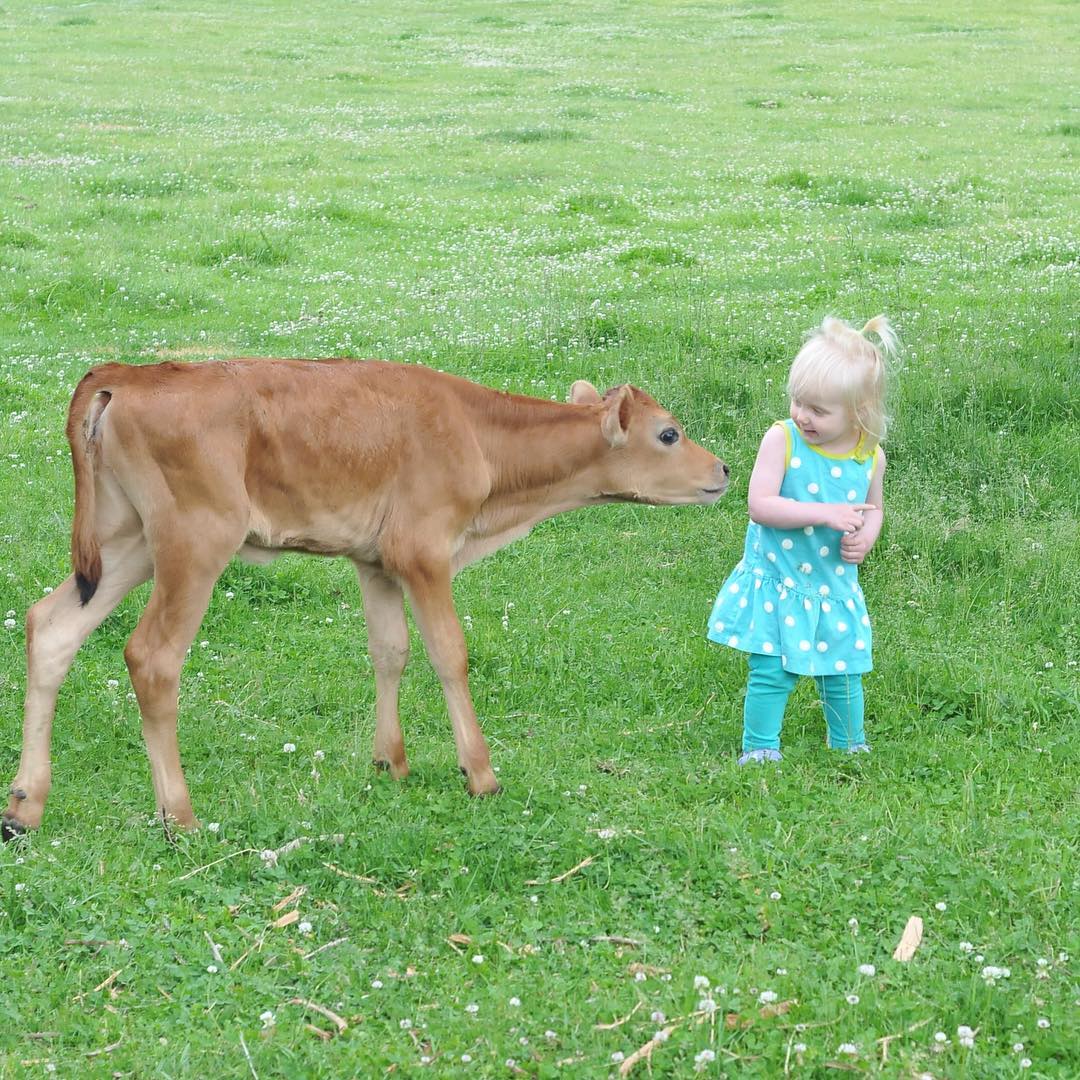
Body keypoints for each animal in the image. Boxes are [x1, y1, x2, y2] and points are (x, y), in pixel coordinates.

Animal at [2, 358, 725, 838]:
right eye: (668, 433)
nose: (721, 468)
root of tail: (123, 373)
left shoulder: (375, 561)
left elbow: (390, 650)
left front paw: (391, 763)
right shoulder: (422, 550)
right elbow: (448, 654)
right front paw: (480, 774)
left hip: (127, 539)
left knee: (52, 625)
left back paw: (25, 804)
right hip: (195, 537)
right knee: (152, 658)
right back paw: (178, 814)